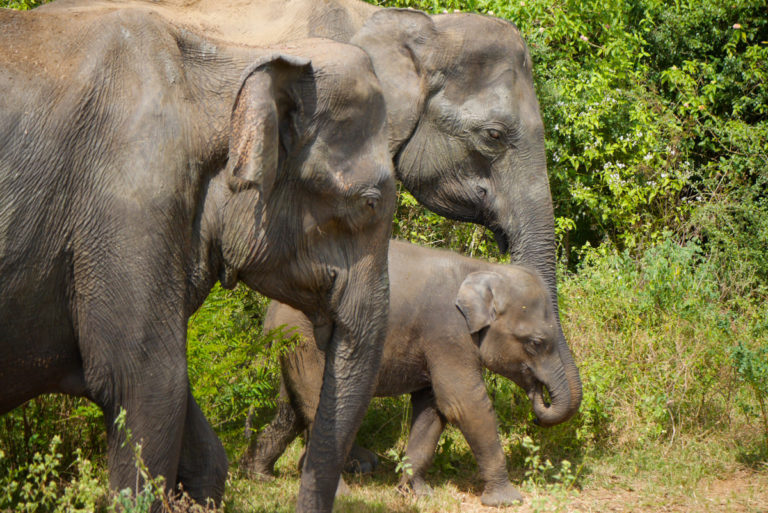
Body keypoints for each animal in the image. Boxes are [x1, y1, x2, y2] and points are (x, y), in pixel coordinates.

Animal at [243, 240, 580, 504]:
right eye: (536, 343)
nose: (538, 402)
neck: (481, 269)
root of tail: (270, 312)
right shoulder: (447, 333)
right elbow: (463, 404)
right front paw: (508, 500)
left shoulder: (433, 343)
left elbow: (432, 410)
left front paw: (416, 493)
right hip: (306, 340)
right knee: (318, 410)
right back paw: (339, 493)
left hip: (293, 345)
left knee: (290, 409)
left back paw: (261, 476)